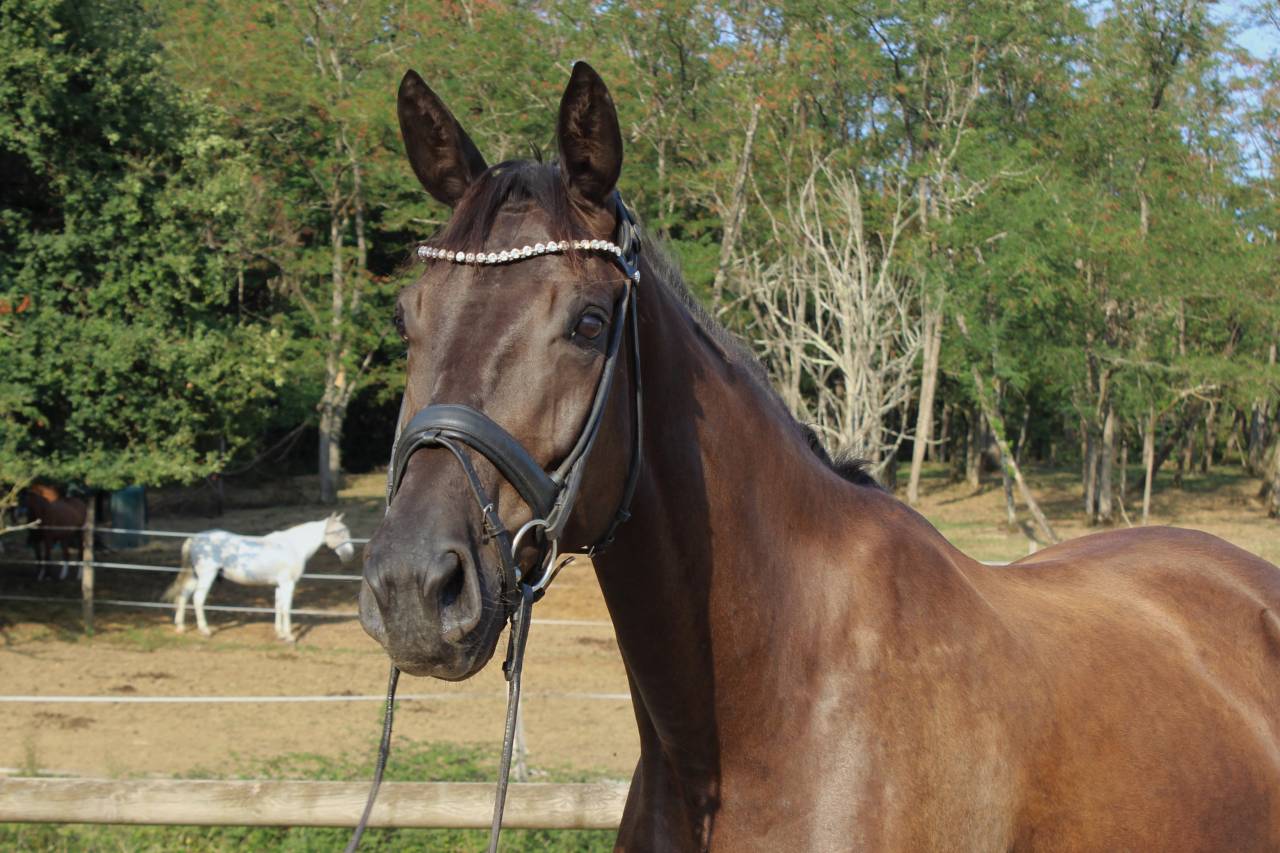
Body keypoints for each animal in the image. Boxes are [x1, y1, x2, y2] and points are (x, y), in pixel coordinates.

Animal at [169, 513, 355, 642]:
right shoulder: (288, 584)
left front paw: (280, 633)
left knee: (183, 596)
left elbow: (278, 606)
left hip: (195, 575)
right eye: (339, 532)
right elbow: (286, 608)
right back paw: (205, 631)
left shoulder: (280, 585)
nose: (349, 555)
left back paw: (180, 627)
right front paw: (289, 636)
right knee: (198, 599)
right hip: (207, 575)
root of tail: (195, 538)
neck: (294, 546)